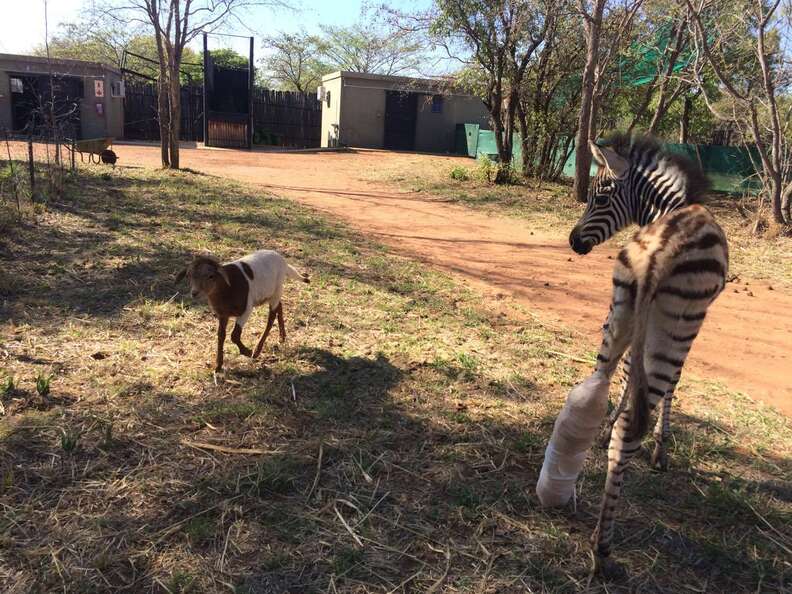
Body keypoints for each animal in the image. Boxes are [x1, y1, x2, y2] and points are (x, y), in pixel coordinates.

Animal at [176, 247, 310, 368]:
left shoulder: (246, 309)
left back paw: (257, 350)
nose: (194, 293)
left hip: (277, 287)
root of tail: (281, 259)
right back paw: (282, 337)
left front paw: (248, 352)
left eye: (211, 276)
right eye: (189, 275)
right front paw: (218, 365)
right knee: (279, 307)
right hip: (270, 293)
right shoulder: (222, 314)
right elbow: (221, 335)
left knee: (271, 318)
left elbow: (235, 335)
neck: (227, 288)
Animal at [540, 134, 728, 572]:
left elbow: (628, 370)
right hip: (676, 325)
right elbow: (674, 383)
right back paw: (602, 546)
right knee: (633, 422)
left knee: (601, 375)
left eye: (600, 197)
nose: (574, 242)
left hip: (620, 306)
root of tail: (660, 248)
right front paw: (661, 447)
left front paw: (612, 419)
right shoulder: (691, 323)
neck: (673, 208)